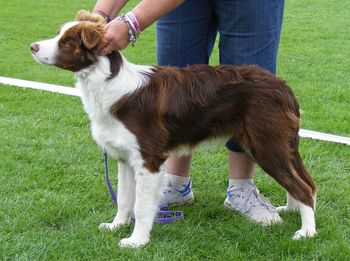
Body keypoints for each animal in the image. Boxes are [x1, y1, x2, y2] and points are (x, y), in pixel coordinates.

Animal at [30, 11, 318, 246]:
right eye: (59, 33)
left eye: (67, 42)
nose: (32, 46)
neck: (106, 83)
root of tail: (282, 86)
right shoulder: (125, 157)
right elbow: (123, 198)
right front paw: (116, 226)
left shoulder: (148, 159)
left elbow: (141, 205)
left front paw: (136, 241)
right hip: (279, 144)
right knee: (305, 182)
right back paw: (291, 211)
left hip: (265, 143)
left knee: (303, 186)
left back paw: (307, 232)